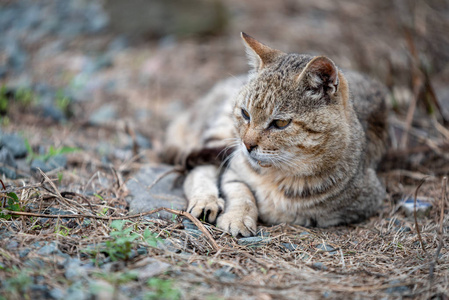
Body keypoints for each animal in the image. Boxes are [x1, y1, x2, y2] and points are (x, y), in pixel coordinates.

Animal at [163, 32, 386, 237]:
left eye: (280, 123)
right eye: (245, 114)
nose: (247, 145)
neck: (275, 175)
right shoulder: (233, 168)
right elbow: (242, 192)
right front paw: (238, 217)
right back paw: (205, 200)